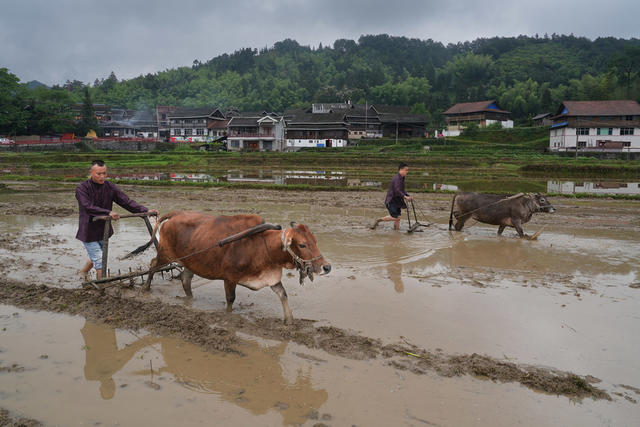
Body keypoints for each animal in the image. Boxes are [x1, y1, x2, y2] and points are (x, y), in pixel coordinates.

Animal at [127, 212, 332, 326]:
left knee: (185, 279)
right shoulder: (230, 278)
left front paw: (289, 322)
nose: (327, 267)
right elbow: (230, 299)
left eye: (315, 241)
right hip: (165, 255)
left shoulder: (272, 278)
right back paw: (146, 289)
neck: (262, 244)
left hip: (190, 262)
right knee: (153, 265)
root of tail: (176, 215)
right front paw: (228, 318)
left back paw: (190, 300)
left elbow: (283, 295)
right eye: (302, 244)